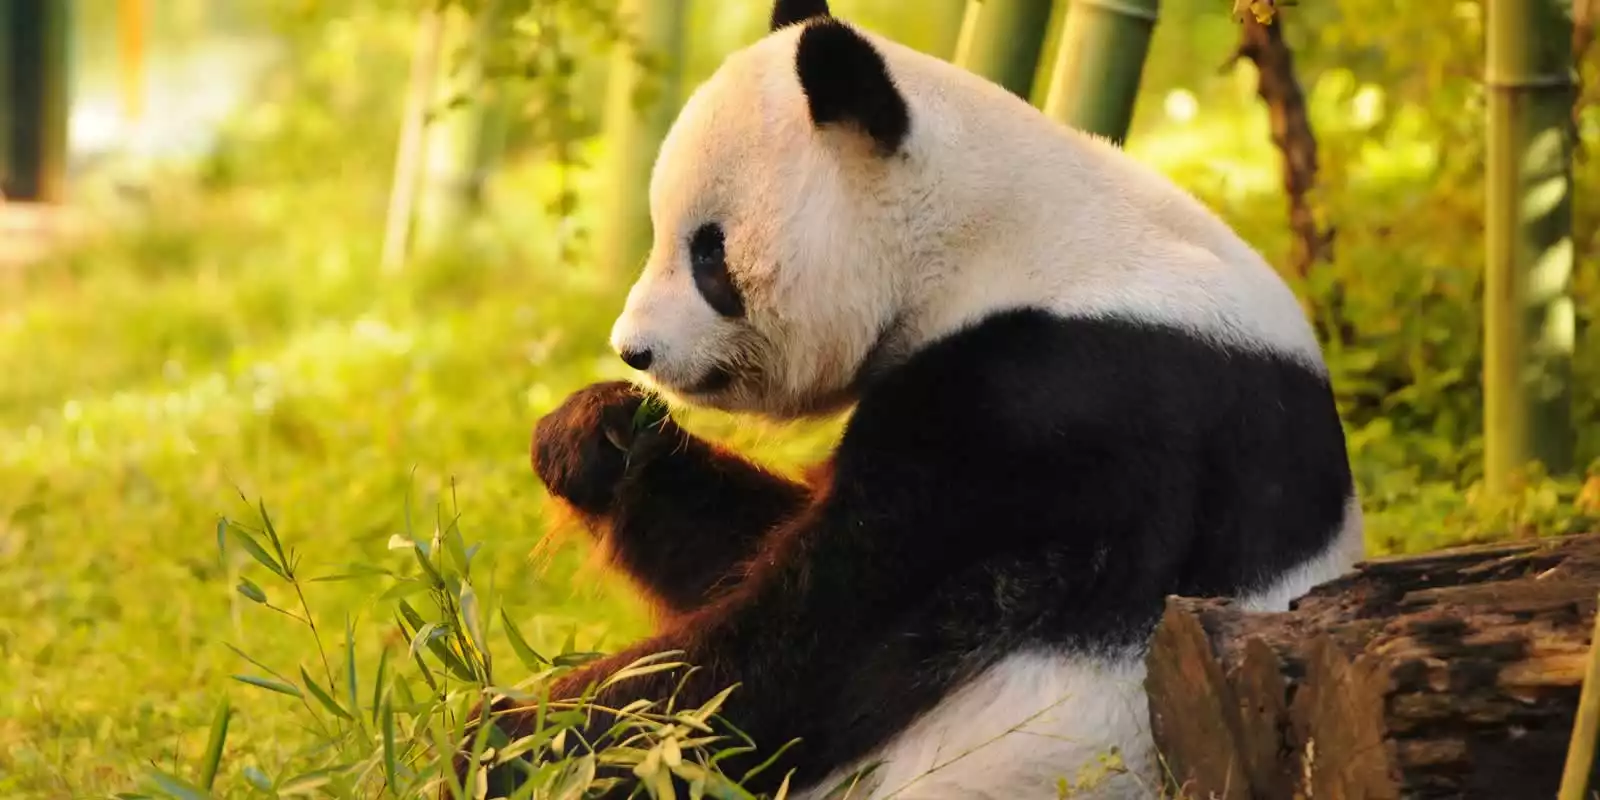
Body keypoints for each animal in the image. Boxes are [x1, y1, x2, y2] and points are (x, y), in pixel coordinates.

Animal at [463, 1, 1363, 797]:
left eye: (709, 255)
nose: (635, 348)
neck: (993, 233)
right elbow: (751, 555)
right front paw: (595, 437)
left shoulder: (1054, 401)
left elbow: (811, 647)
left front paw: (500, 739)